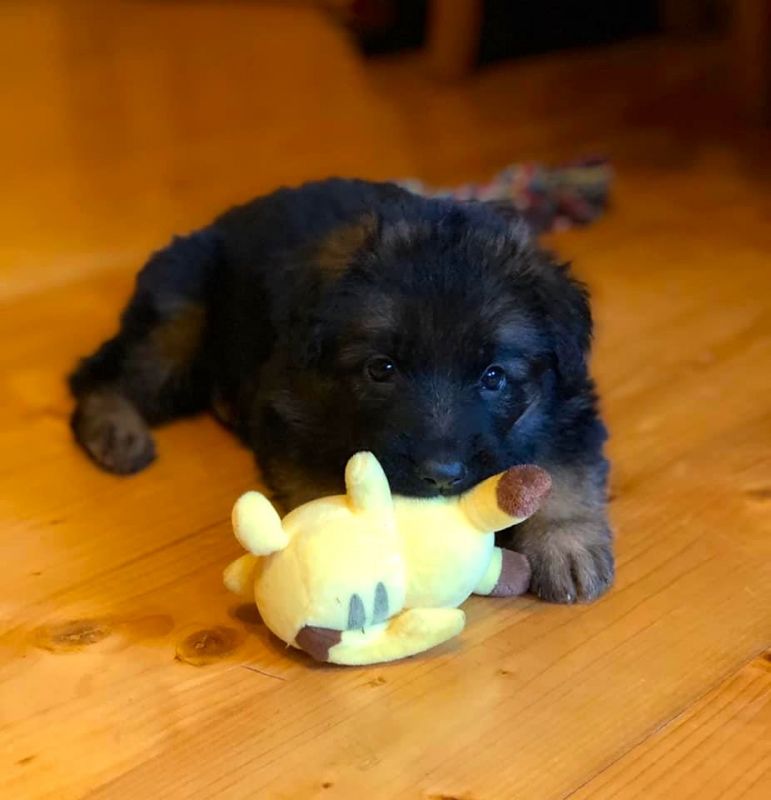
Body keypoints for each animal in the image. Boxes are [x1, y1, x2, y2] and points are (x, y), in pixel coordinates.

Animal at [69, 178, 613, 603]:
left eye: (494, 376)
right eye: (381, 369)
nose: (441, 476)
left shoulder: (566, 402)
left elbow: (566, 470)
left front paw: (566, 544)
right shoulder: (291, 414)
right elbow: (323, 491)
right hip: (180, 316)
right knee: (97, 375)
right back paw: (114, 429)